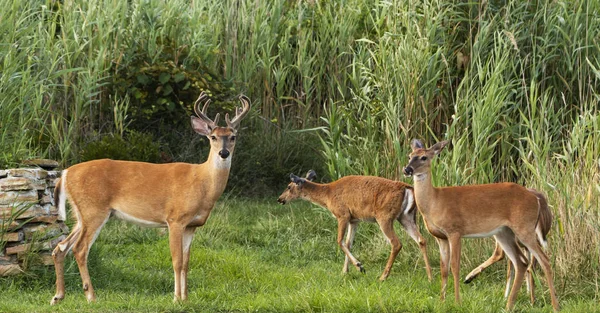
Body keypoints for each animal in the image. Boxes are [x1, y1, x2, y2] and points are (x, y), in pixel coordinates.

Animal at [49, 91, 251, 304]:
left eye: (233, 137)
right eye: (213, 137)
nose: (223, 153)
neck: (202, 183)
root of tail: (65, 173)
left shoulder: (192, 226)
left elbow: (187, 263)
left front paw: (186, 298)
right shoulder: (175, 219)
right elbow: (177, 261)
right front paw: (176, 299)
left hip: (82, 214)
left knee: (60, 247)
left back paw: (58, 296)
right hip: (93, 209)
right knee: (79, 249)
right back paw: (91, 296)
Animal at [276, 171, 432, 280]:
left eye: (288, 186)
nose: (280, 199)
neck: (328, 195)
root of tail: (406, 187)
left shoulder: (342, 214)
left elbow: (339, 241)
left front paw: (359, 266)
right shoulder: (354, 220)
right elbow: (348, 243)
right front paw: (345, 271)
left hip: (384, 216)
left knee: (396, 243)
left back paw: (383, 277)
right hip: (406, 216)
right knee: (421, 240)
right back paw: (430, 276)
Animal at [400, 139, 560, 310]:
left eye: (423, 157)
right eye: (410, 155)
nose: (407, 169)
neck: (434, 202)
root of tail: (536, 198)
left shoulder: (455, 231)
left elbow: (454, 266)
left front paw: (457, 302)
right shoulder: (440, 237)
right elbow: (444, 269)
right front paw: (441, 301)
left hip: (524, 228)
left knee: (544, 260)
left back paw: (554, 306)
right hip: (504, 232)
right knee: (521, 262)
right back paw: (509, 305)